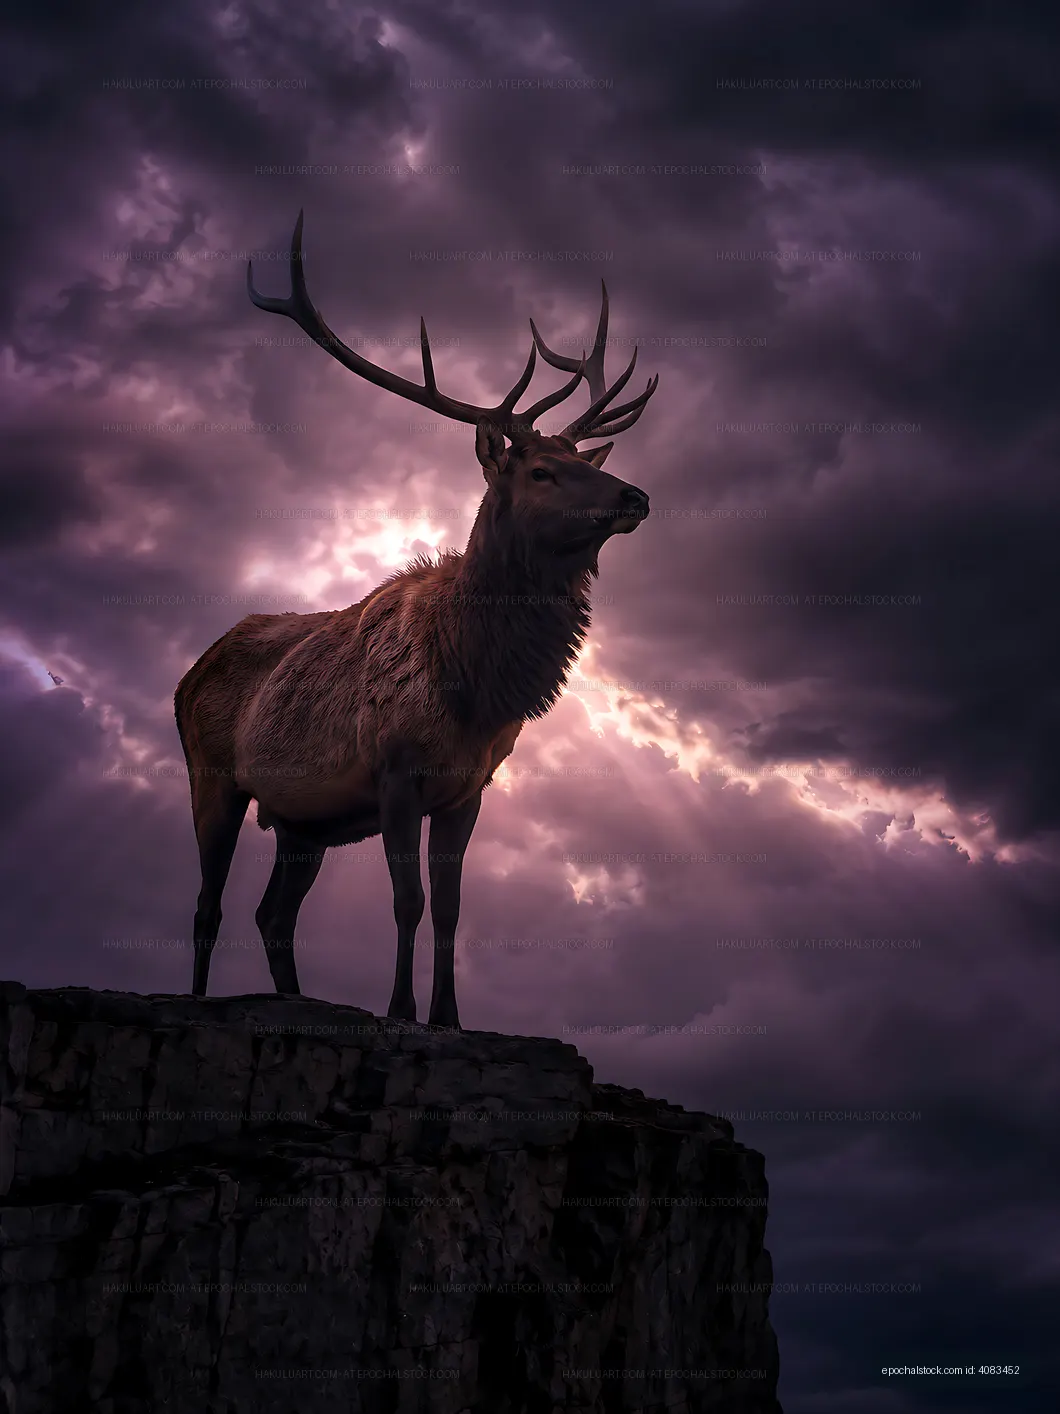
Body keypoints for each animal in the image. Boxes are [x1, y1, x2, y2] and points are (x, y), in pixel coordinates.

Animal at [174, 210, 658, 1029]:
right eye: (541, 471)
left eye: (582, 461)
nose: (635, 496)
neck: (472, 683)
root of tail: (187, 671)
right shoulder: (396, 770)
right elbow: (408, 902)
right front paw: (401, 1009)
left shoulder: (468, 789)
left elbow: (453, 910)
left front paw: (449, 1017)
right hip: (211, 773)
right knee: (207, 905)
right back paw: (199, 999)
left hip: (301, 821)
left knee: (272, 915)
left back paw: (296, 999)